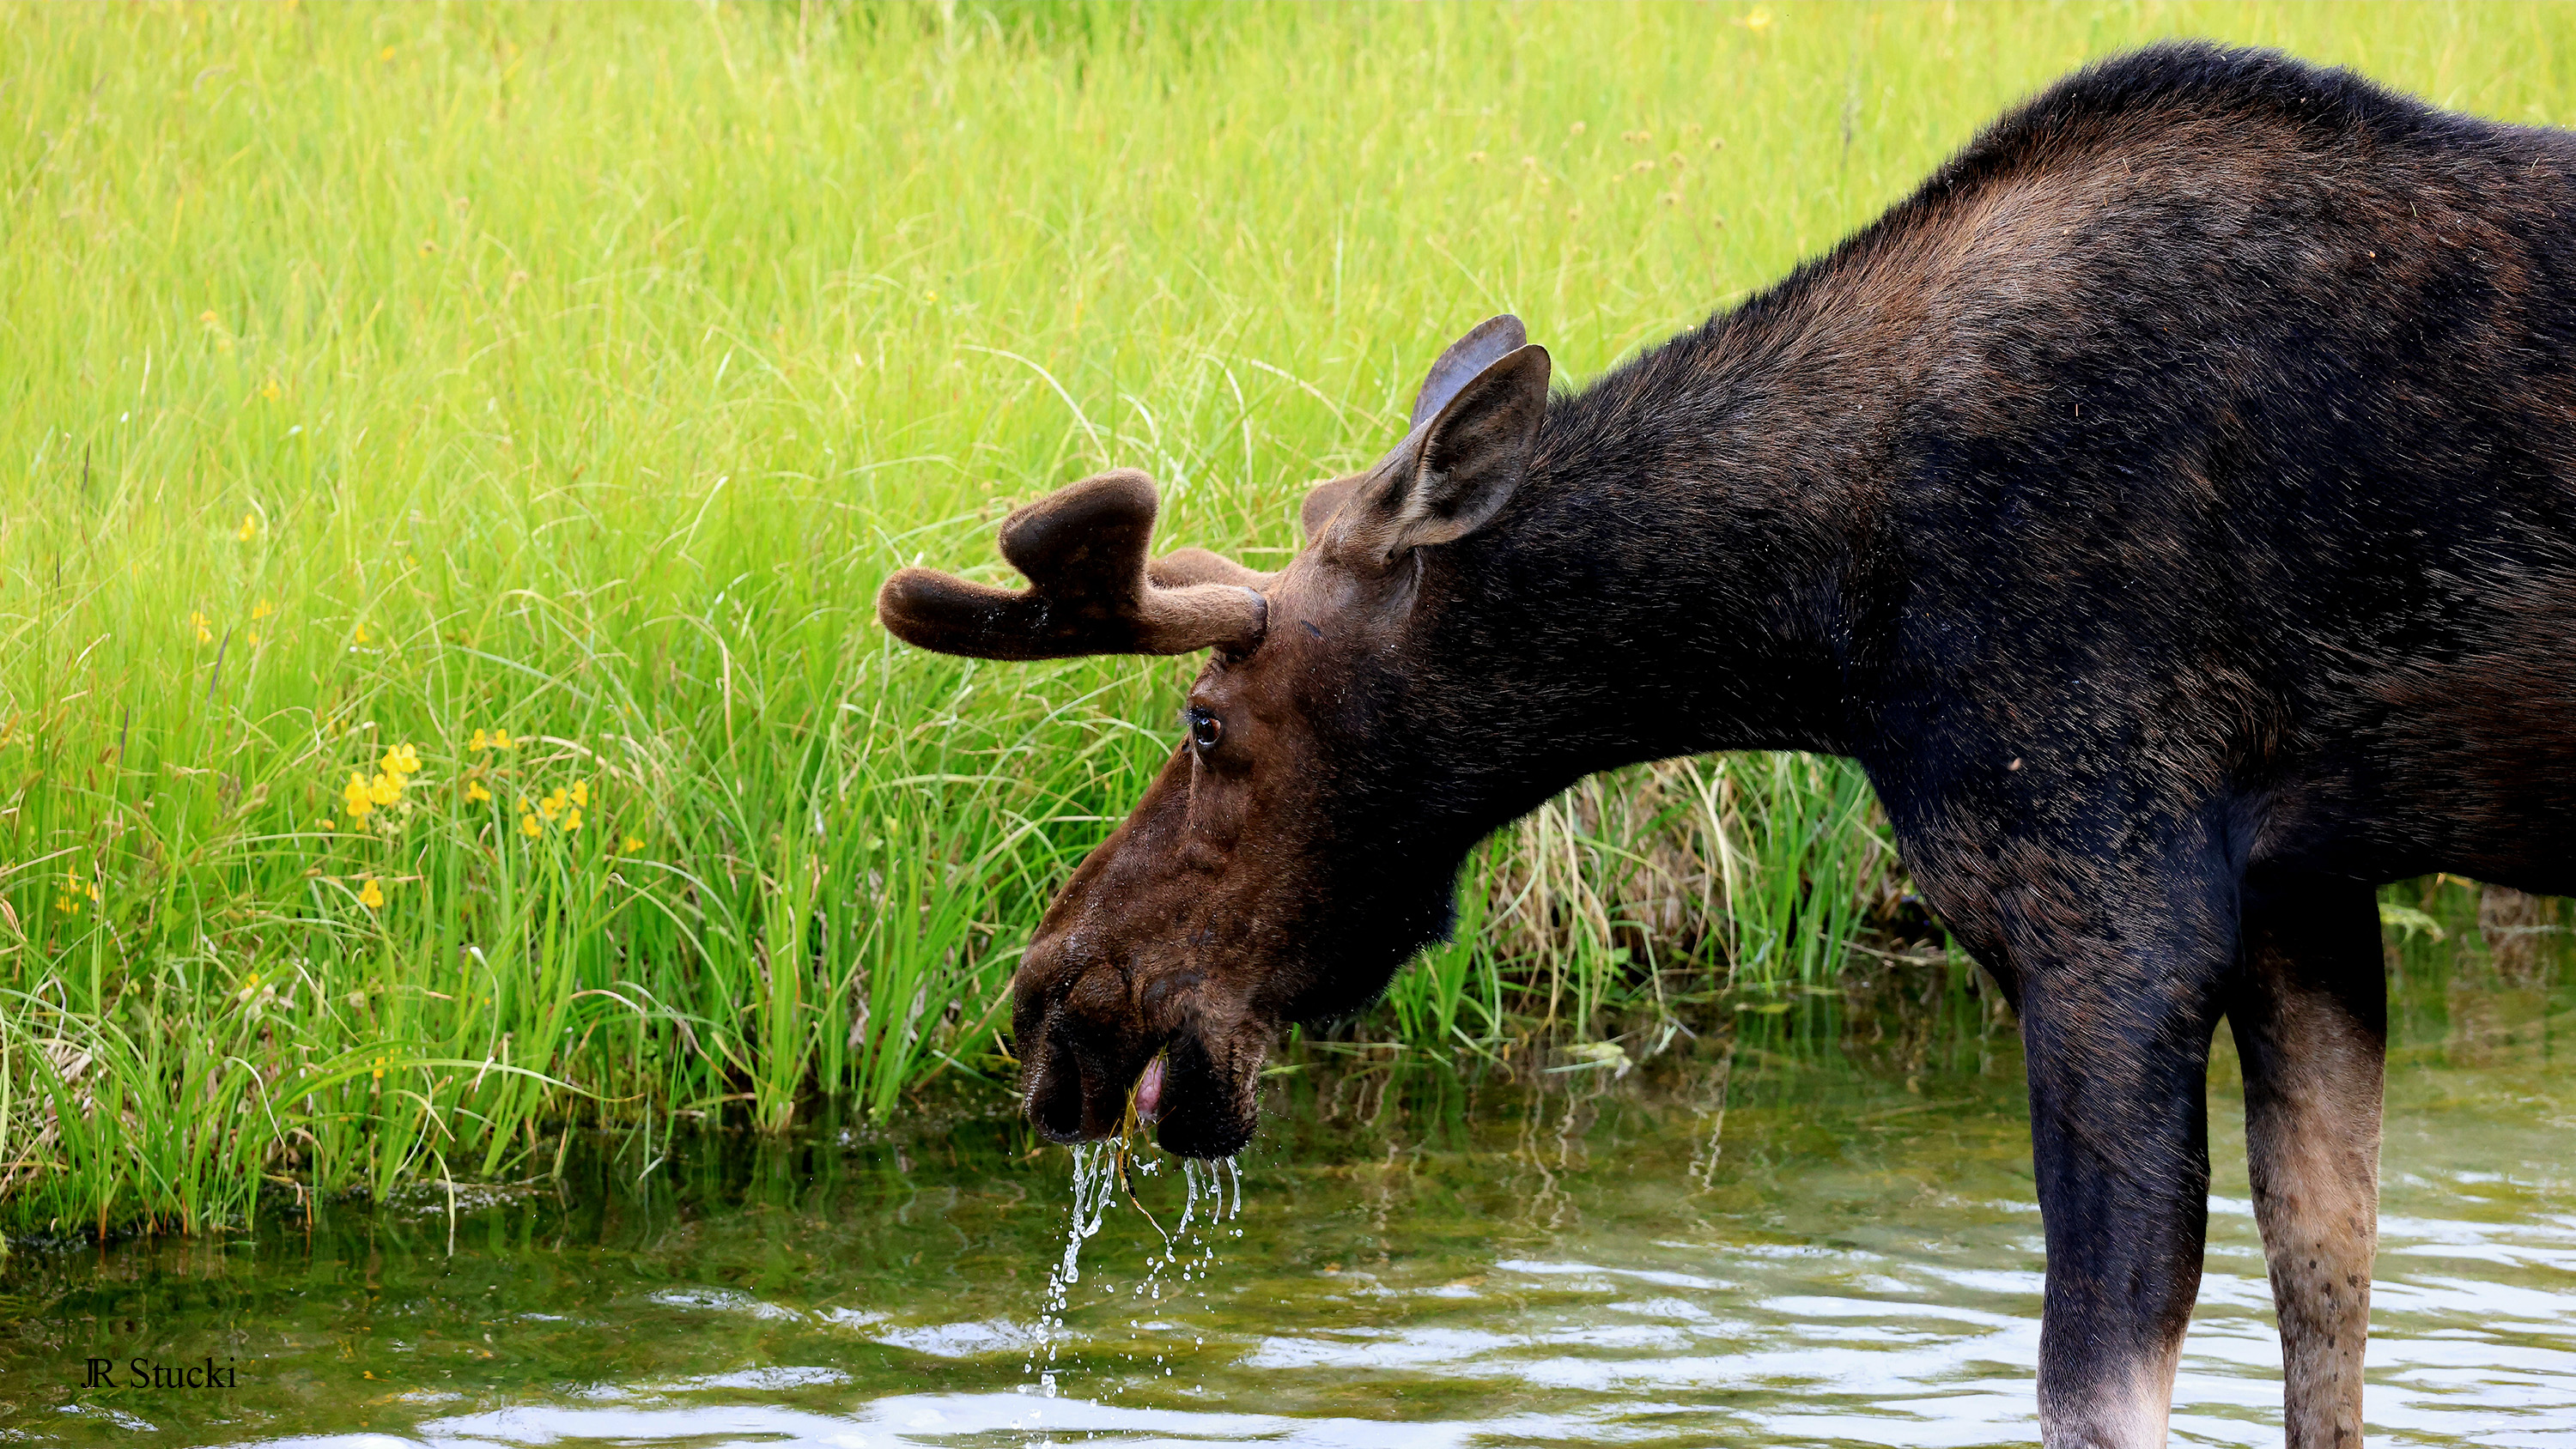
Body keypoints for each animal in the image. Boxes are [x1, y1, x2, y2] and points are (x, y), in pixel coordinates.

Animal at [875, 41, 2576, 1448]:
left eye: (1206, 719)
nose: (1053, 990)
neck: (1820, 623)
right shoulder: (2307, 888)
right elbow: (2328, 1305)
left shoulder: (2108, 898)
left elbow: (2099, 1383)